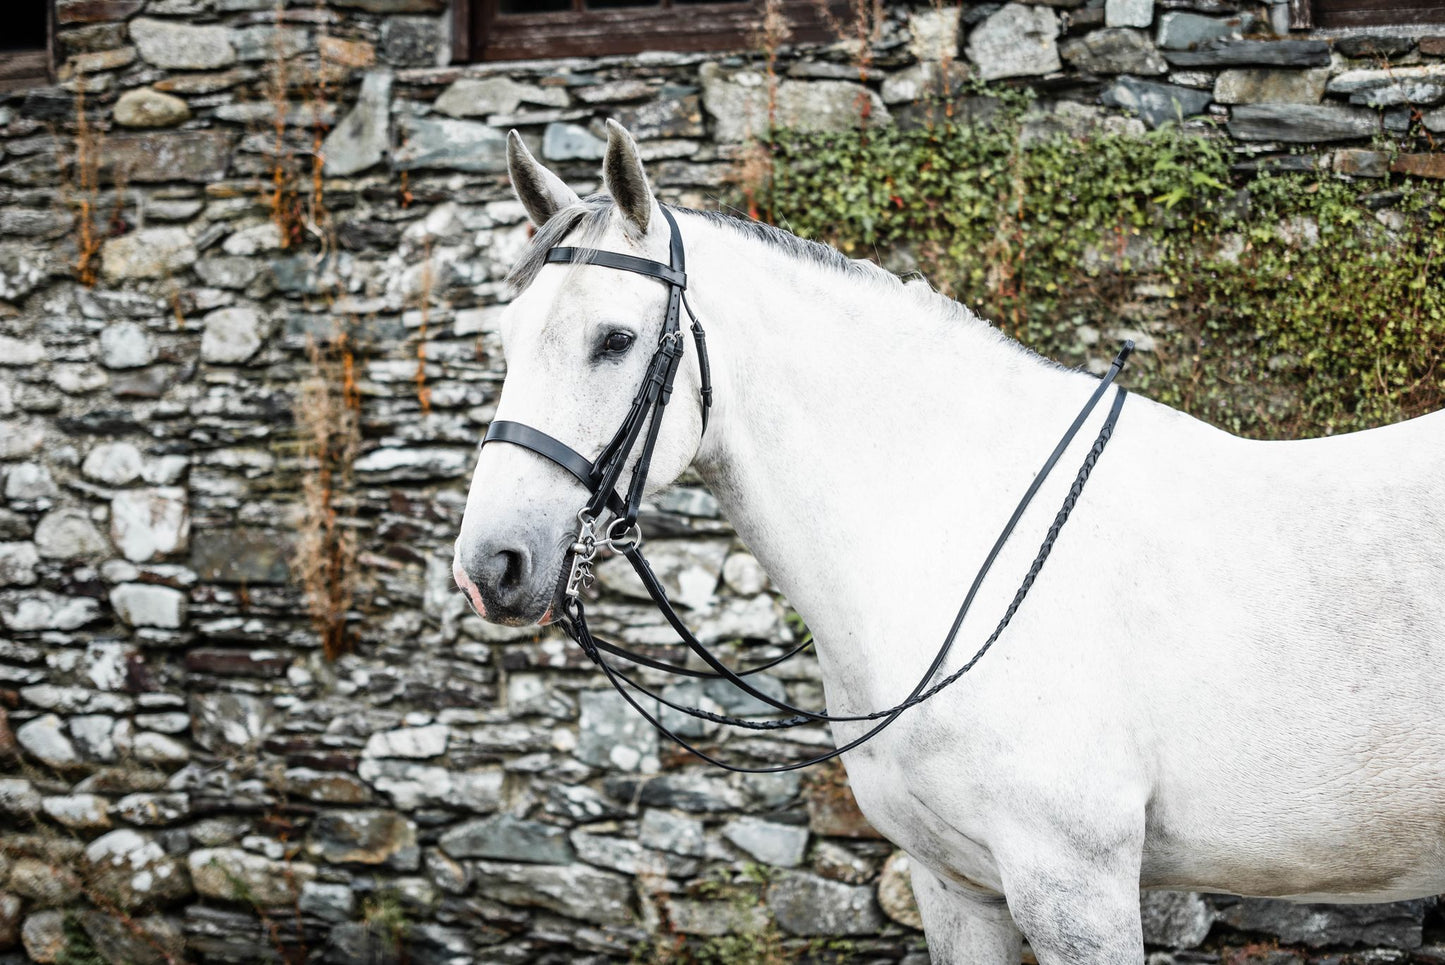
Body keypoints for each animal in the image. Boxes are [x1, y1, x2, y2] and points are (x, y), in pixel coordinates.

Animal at [456, 122, 1445, 965]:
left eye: (615, 339)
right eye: (504, 337)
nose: (488, 566)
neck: (951, 532)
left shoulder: (1073, 884)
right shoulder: (954, 885)